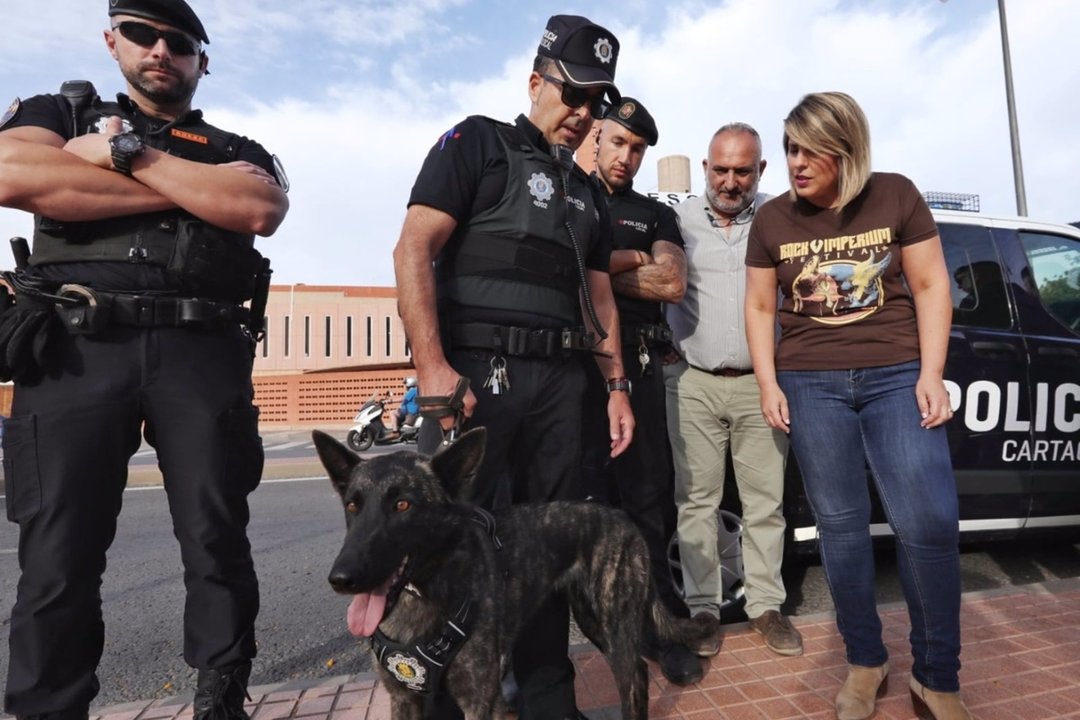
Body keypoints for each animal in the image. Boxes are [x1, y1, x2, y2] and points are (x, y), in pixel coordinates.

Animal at [313, 427, 717, 720]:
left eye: (402, 505)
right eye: (352, 505)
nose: (341, 579)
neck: (421, 594)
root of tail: (620, 515)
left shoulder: (479, 702)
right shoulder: (403, 699)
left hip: (615, 621)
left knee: (634, 675)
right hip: (592, 620)